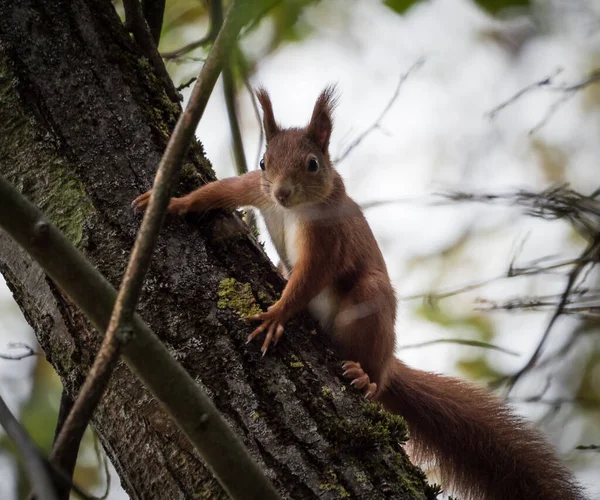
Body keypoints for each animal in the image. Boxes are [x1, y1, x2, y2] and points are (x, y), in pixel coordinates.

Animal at [130, 88, 580, 498]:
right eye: (263, 162)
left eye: (312, 164)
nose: (282, 193)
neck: (292, 210)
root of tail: (388, 363)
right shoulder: (253, 188)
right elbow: (218, 190)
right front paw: (170, 202)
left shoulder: (328, 236)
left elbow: (309, 278)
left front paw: (276, 315)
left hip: (370, 305)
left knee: (374, 366)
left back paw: (366, 378)